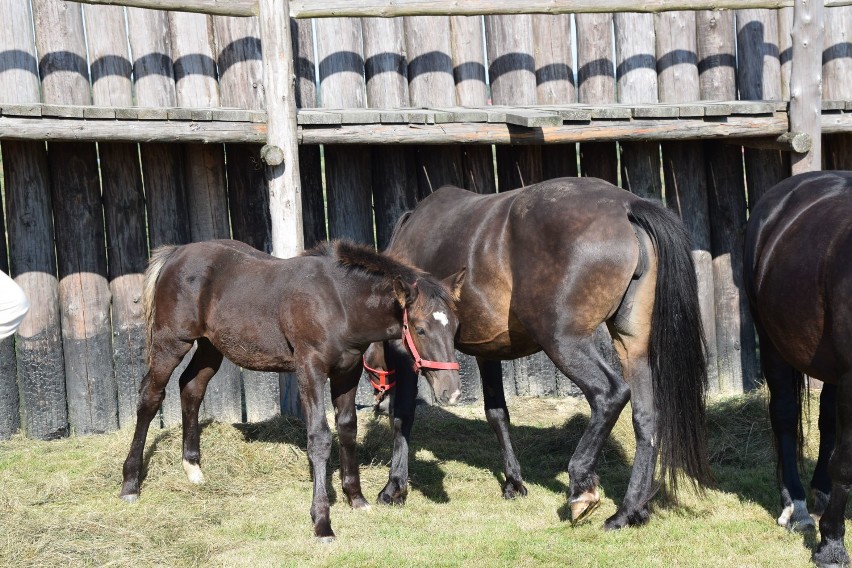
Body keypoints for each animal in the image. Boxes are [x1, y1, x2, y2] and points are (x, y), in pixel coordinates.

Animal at [118, 240, 466, 540]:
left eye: (455, 326)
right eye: (420, 328)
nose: (451, 392)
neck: (340, 302)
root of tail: (175, 253)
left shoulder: (348, 371)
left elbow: (347, 429)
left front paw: (357, 499)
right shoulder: (309, 369)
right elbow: (320, 438)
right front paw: (322, 523)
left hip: (210, 347)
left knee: (191, 387)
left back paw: (193, 469)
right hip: (170, 343)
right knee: (150, 397)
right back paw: (130, 484)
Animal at [364, 176, 712, 528]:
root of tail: (626, 205)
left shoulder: (406, 350)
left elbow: (403, 415)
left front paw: (394, 488)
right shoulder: (487, 351)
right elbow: (497, 413)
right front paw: (514, 482)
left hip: (563, 342)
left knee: (609, 394)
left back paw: (581, 486)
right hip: (632, 346)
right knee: (646, 418)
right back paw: (628, 512)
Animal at [744, 171, 852, 564]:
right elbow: (846, 463)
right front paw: (831, 546)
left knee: (827, 421)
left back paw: (820, 493)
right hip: (772, 342)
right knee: (785, 415)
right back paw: (798, 506)